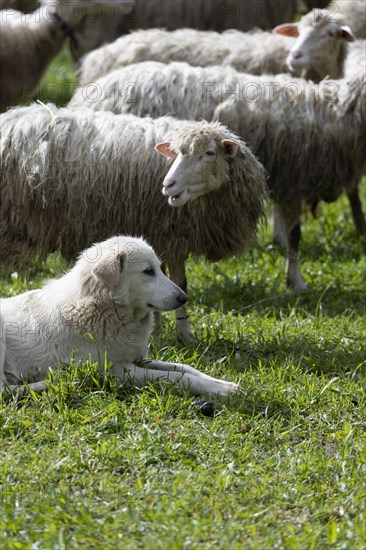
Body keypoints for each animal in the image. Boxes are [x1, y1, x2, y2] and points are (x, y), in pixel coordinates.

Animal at [0, 103, 268, 342]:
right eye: (177, 153)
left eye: (210, 153)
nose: (168, 184)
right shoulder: (168, 233)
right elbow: (174, 282)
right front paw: (176, 333)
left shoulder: (168, 236)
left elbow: (173, 281)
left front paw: (169, 332)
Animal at [0, 236, 240, 396]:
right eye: (148, 271)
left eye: (159, 269)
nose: (184, 298)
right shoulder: (118, 371)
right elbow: (178, 377)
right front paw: (218, 390)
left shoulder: (138, 358)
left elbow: (185, 368)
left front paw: (224, 384)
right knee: (6, 390)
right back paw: (52, 382)